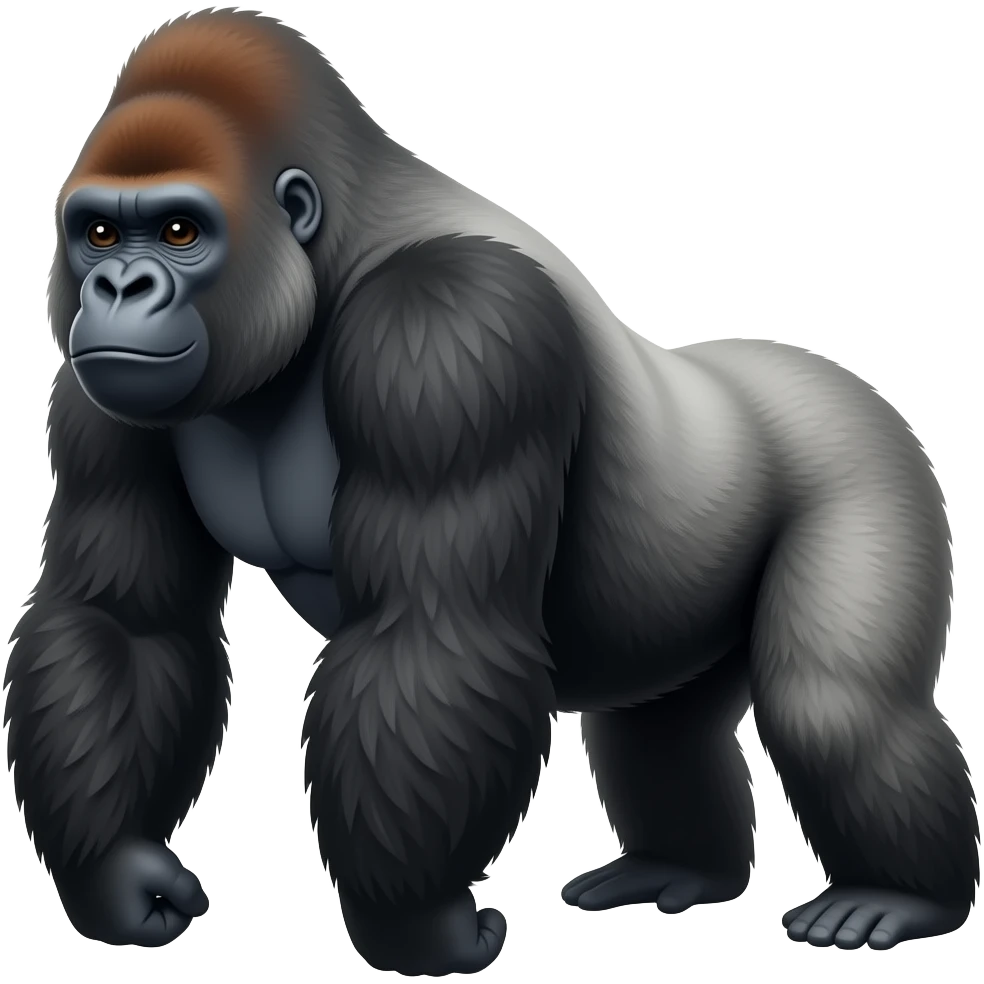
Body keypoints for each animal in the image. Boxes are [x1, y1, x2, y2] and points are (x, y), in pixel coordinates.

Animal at [4, 6, 978, 972]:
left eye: (180, 232)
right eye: (97, 233)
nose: (117, 287)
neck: (330, 257)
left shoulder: (450, 329)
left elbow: (431, 635)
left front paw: (415, 926)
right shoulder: (97, 396)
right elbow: (127, 620)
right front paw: (116, 872)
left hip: (869, 459)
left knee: (833, 707)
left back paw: (903, 895)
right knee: (663, 726)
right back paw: (681, 867)